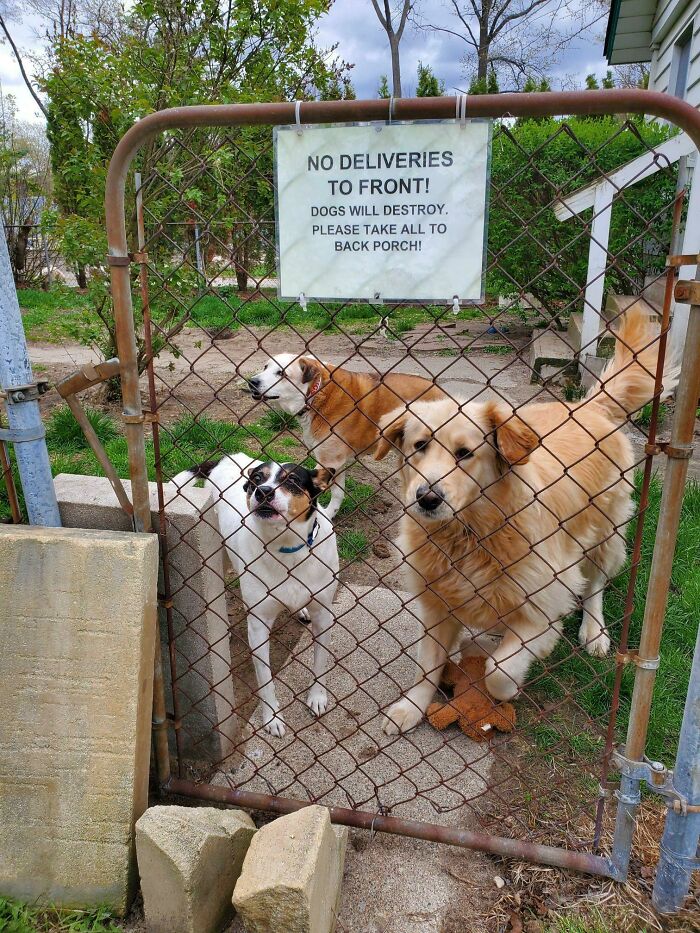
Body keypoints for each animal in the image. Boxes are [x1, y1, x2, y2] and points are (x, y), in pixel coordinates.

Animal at [171, 456, 338, 740]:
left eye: (293, 480)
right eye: (257, 479)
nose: (263, 492)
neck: (286, 547)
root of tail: (229, 456)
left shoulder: (324, 614)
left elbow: (320, 663)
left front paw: (317, 697)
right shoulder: (259, 625)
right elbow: (265, 678)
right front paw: (272, 717)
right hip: (218, 553)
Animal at [247, 354, 442, 516]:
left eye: (281, 373)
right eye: (265, 367)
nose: (251, 381)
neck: (317, 393)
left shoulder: (328, 461)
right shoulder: (336, 463)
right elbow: (338, 494)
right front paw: (329, 514)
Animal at [374, 306, 668, 736]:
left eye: (465, 453)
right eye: (419, 445)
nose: (427, 498)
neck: (469, 534)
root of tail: (587, 406)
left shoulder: (544, 606)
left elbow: (497, 669)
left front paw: (504, 691)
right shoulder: (436, 601)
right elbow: (427, 665)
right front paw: (410, 707)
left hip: (605, 533)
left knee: (594, 584)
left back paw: (593, 631)